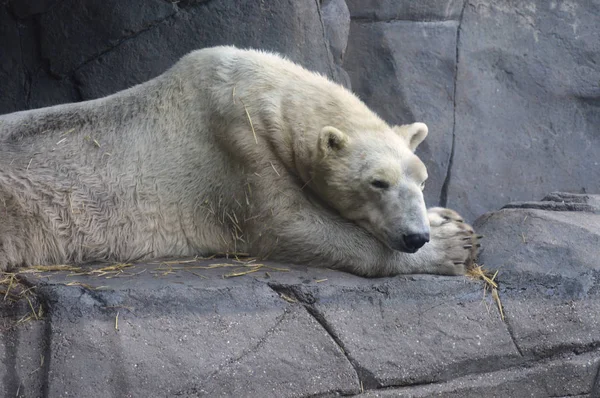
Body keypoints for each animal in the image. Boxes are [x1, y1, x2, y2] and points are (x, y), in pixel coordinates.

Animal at [0, 45, 478, 276]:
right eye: (377, 182)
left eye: (421, 180)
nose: (414, 236)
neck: (259, 89)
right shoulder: (235, 149)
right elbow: (290, 227)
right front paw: (452, 246)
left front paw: (447, 218)